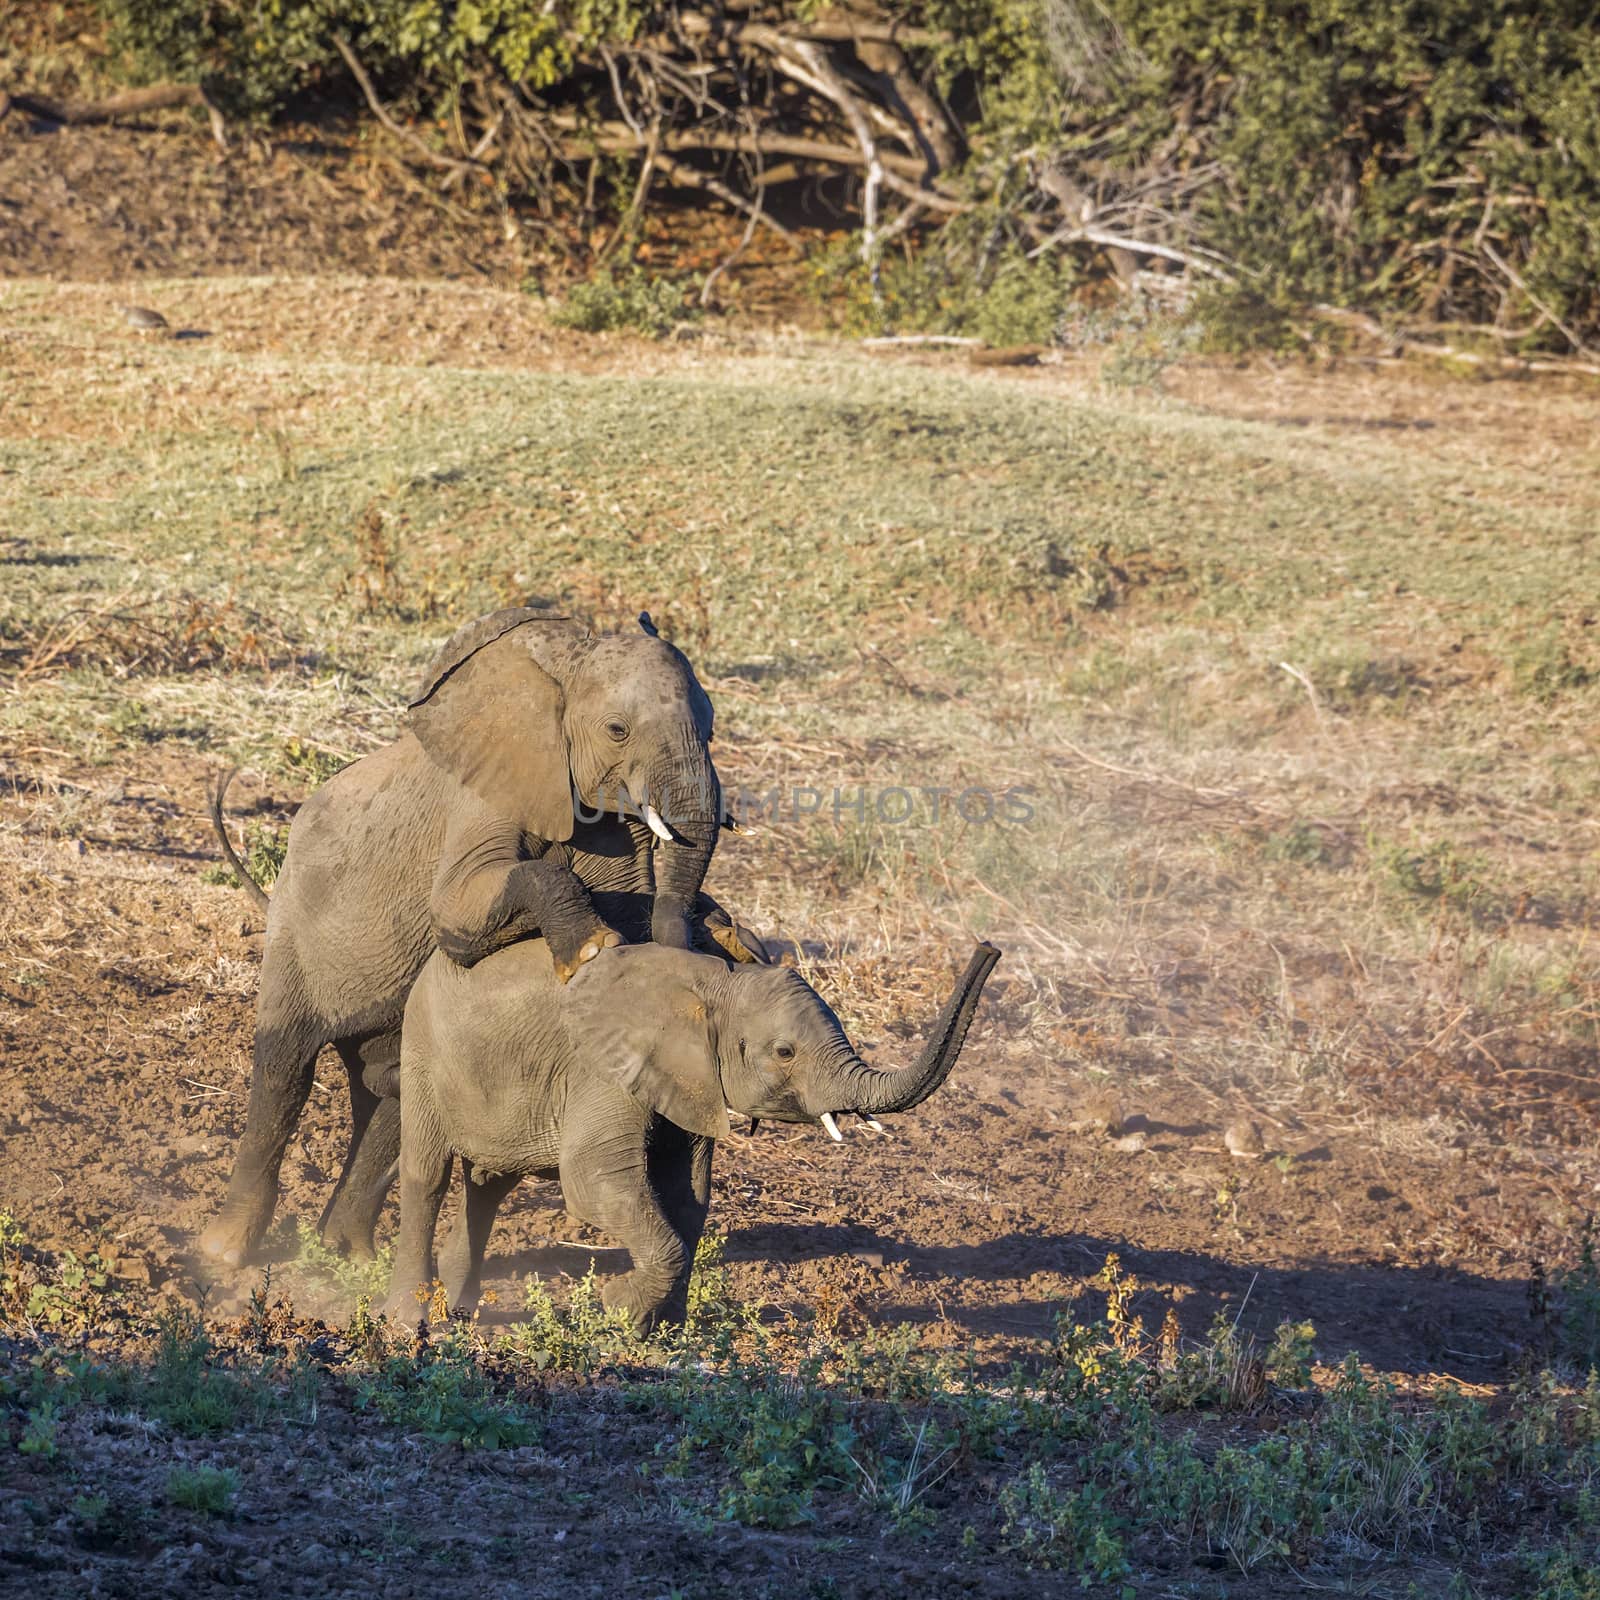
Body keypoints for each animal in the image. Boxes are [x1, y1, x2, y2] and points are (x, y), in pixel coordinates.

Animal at [387, 934, 998, 1331]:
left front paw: (661, 1328)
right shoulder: (605, 1066)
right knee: (428, 1174)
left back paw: (462, 1309)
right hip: (421, 1046)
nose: (988, 949)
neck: (713, 982)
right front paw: (617, 1306)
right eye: (785, 1052)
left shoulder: (688, 1079)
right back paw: (409, 1320)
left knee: (490, 1183)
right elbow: (594, 1184)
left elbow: (687, 1195)